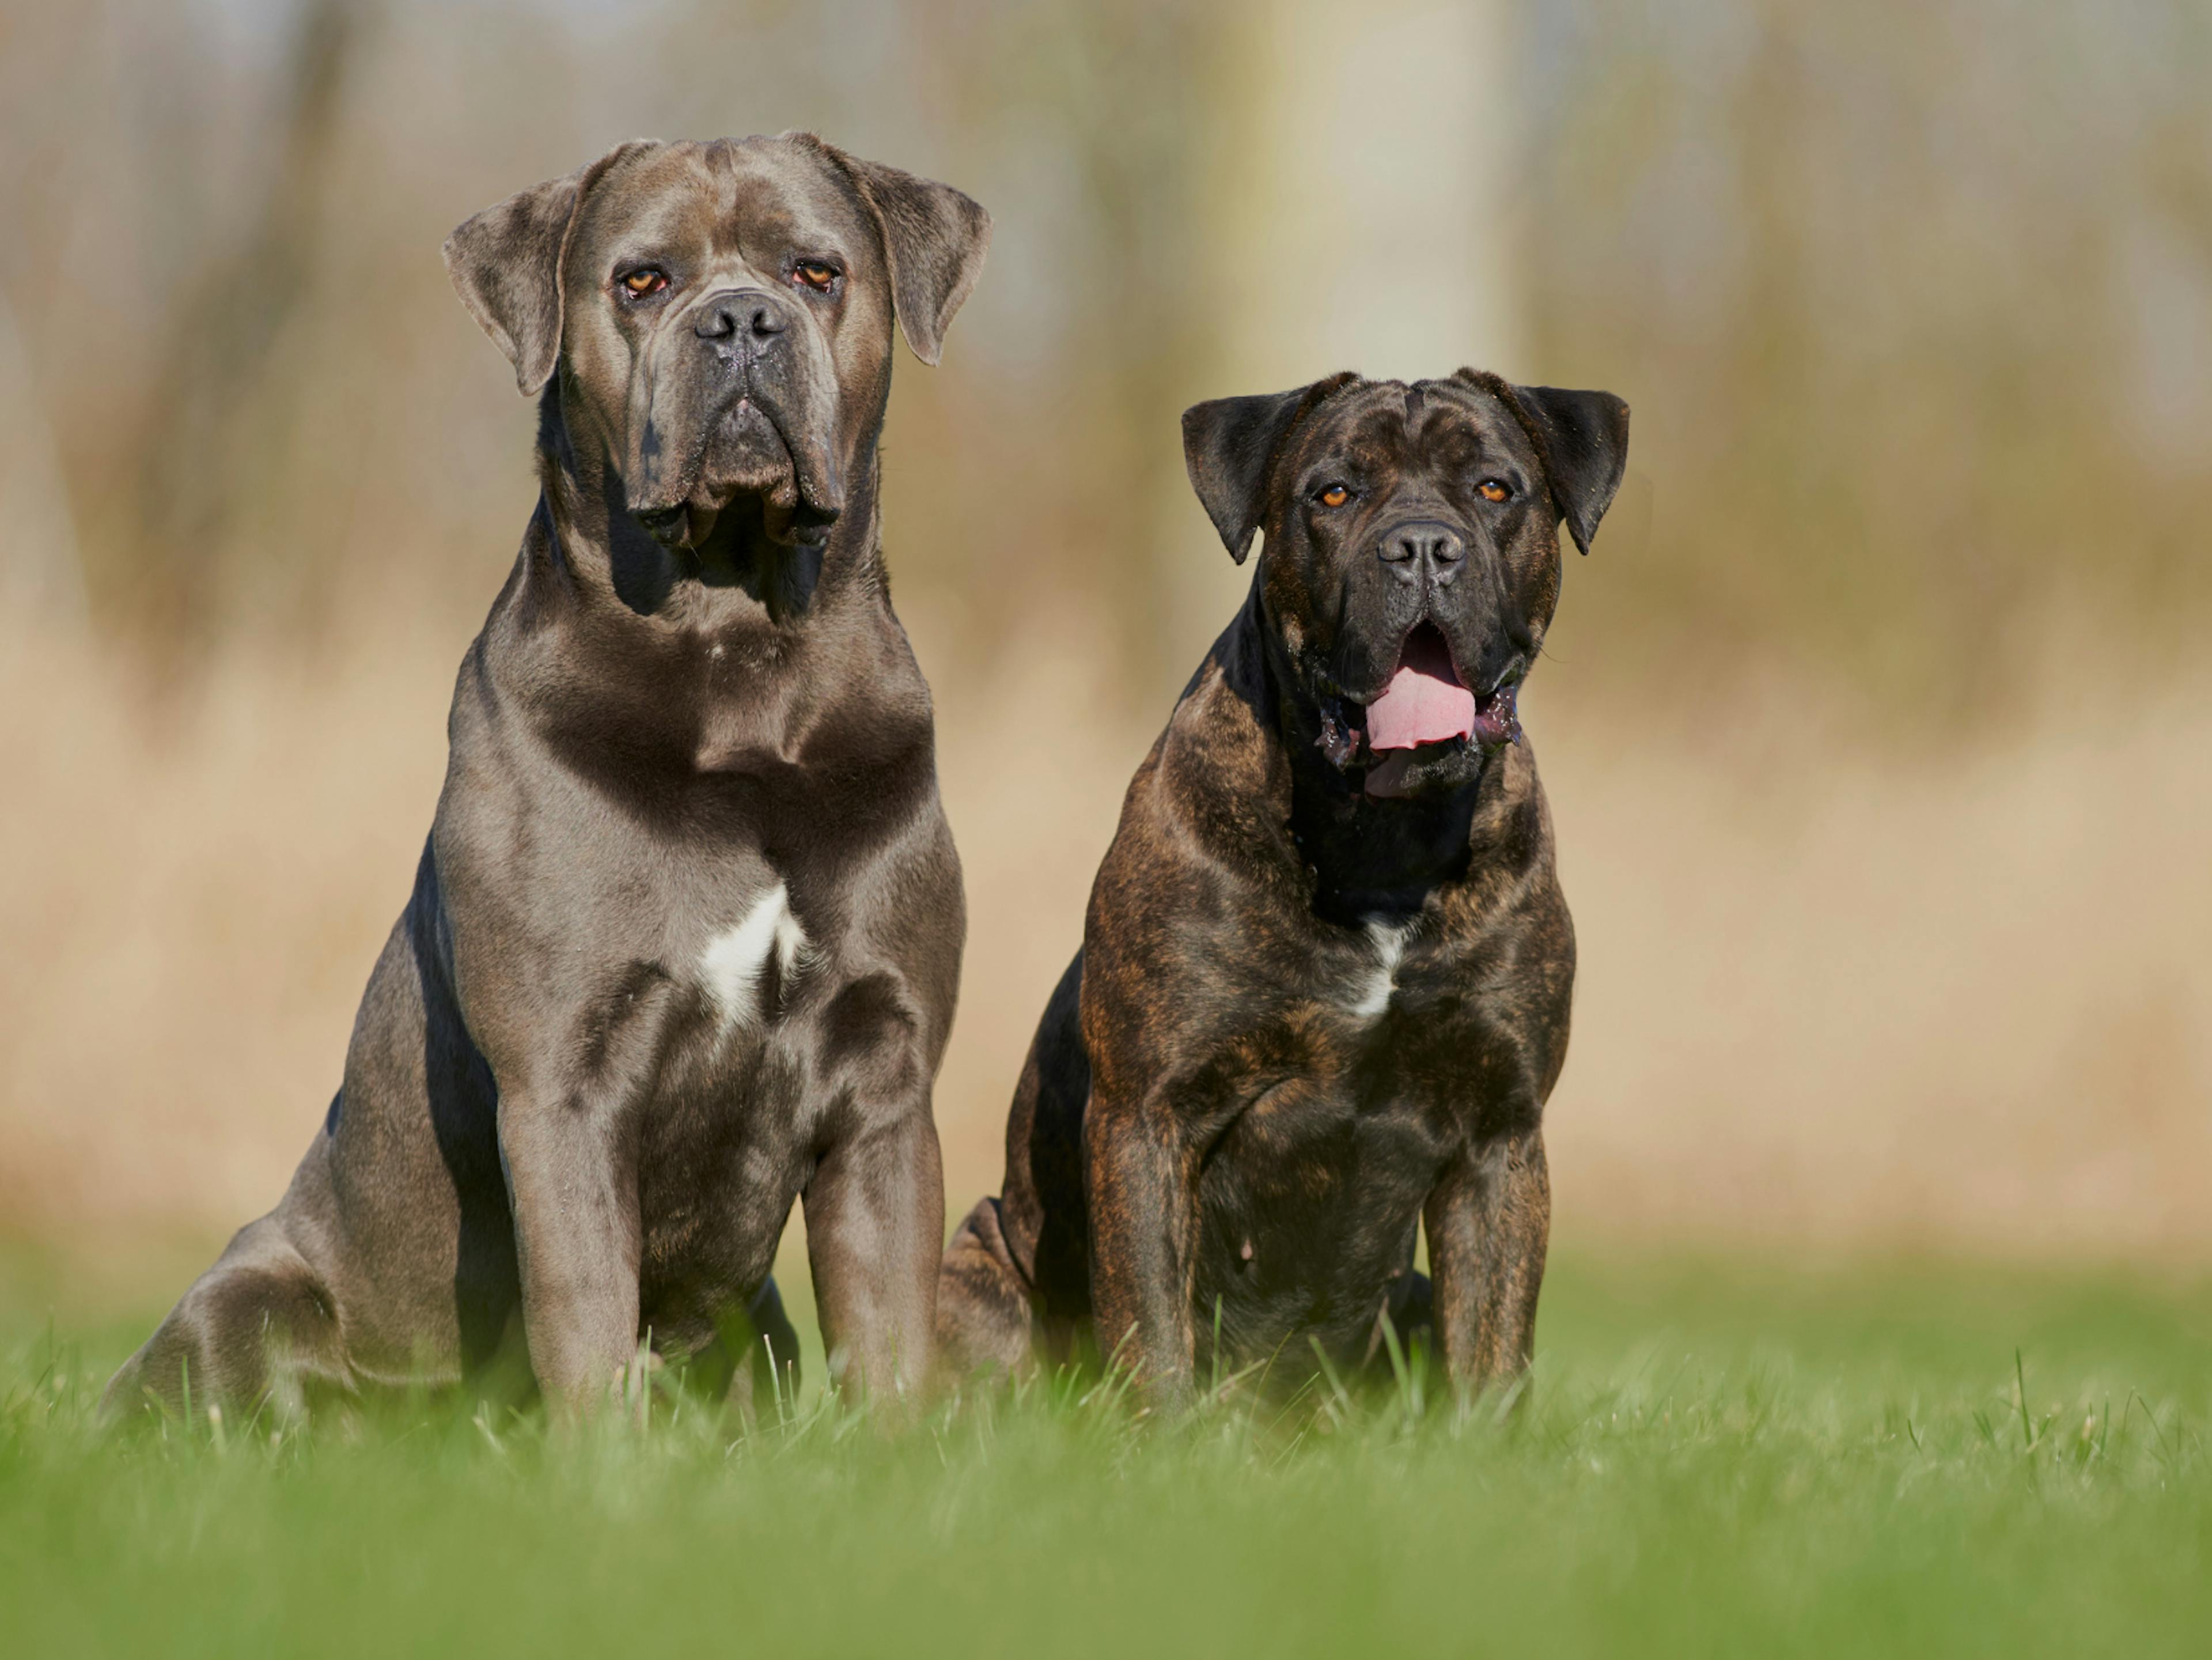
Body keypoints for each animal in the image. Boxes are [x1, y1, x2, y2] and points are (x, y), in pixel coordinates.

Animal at [104, 133, 986, 1434]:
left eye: (817, 272)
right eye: (642, 281)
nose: (740, 322)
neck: (740, 653)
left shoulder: (885, 1080)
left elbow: (886, 1328)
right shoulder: (565, 1081)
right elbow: (585, 1313)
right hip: (246, 1301)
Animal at [933, 369, 1628, 1408]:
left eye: (1496, 488)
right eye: (1333, 493)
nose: (1422, 546)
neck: (1381, 841)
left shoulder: (1502, 1135)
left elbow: (1493, 1353)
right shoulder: (1150, 1118)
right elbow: (1154, 1330)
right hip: (972, 1266)